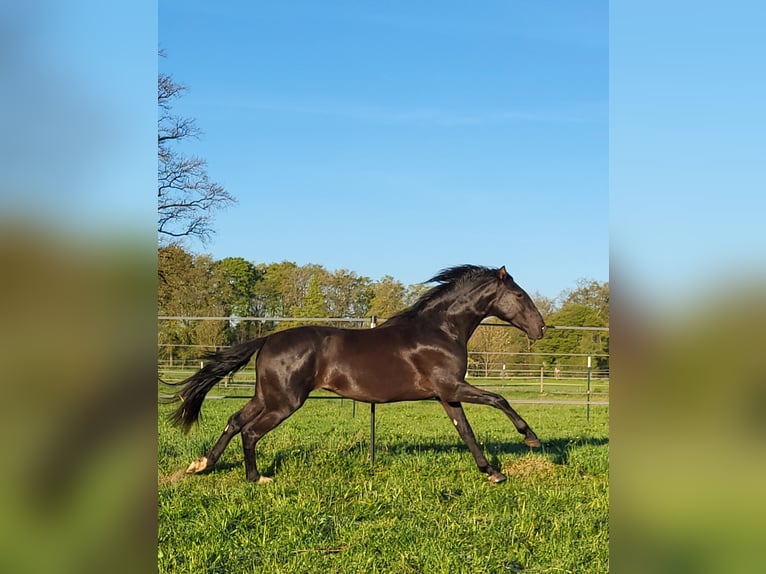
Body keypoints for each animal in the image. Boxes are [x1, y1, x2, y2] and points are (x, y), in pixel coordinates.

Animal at [167, 265, 546, 484]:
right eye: (518, 294)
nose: (540, 328)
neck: (440, 330)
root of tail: (268, 339)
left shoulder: (446, 395)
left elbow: (466, 432)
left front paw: (492, 473)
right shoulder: (452, 386)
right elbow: (499, 398)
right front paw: (531, 439)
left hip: (267, 396)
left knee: (234, 421)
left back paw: (202, 465)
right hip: (284, 402)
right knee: (250, 431)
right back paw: (256, 478)